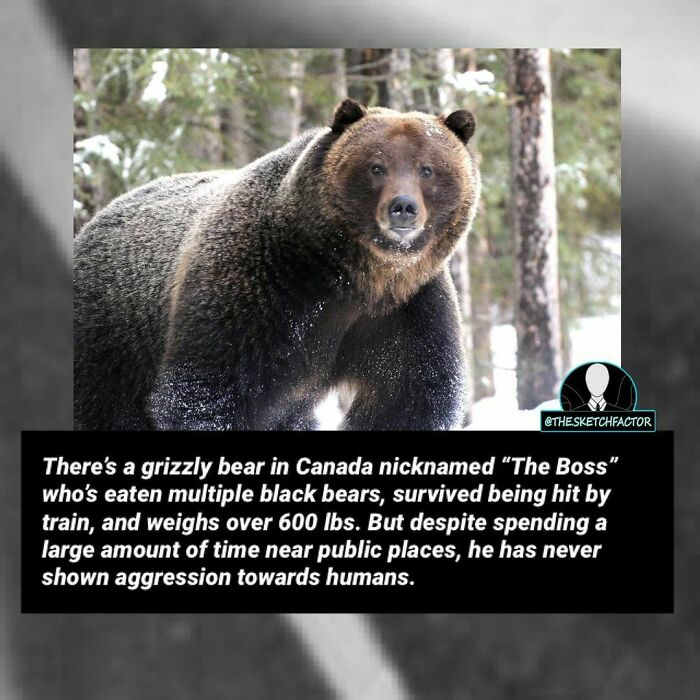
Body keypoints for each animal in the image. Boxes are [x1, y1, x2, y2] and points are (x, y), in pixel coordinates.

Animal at [74, 98, 480, 431]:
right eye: (376, 166)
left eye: (427, 169)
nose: (403, 207)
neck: (352, 276)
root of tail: (94, 222)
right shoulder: (260, 289)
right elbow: (207, 392)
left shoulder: (402, 311)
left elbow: (409, 396)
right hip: (113, 339)